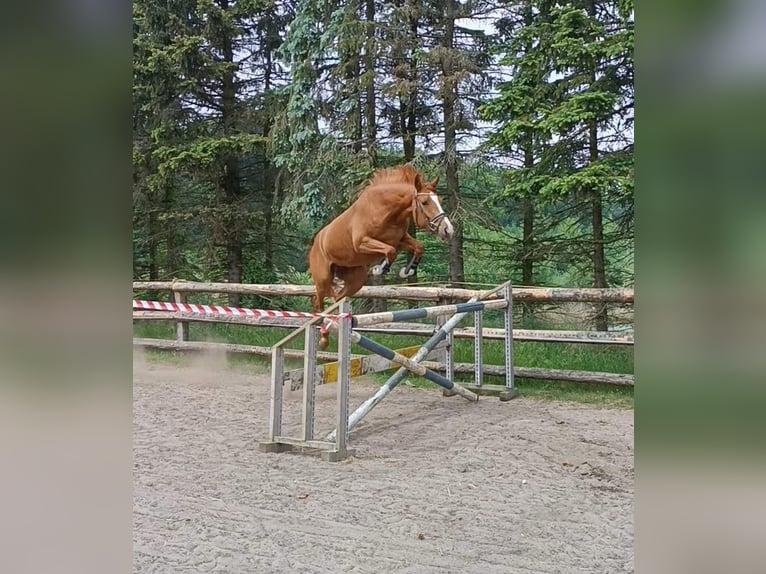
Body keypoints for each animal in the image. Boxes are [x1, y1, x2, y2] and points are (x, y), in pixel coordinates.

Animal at [308, 164, 456, 348]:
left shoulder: (401, 240)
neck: (388, 211)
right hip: (323, 279)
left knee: (337, 300)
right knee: (318, 302)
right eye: (424, 202)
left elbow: (418, 247)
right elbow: (390, 251)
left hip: (356, 280)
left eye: (440, 201)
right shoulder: (362, 242)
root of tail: (316, 241)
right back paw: (323, 339)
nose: (448, 230)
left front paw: (407, 271)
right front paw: (380, 268)